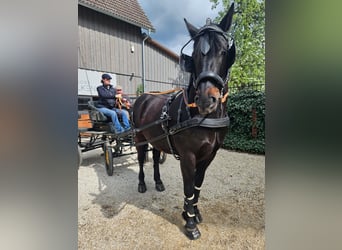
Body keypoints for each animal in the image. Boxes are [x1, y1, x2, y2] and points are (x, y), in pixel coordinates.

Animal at [133, 2, 235, 239]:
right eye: (194, 54)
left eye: (224, 51)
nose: (206, 99)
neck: (202, 117)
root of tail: (142, 97)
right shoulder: (188, 156)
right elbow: (188, 188)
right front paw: (190, 224)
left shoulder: (209, 156)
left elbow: (197, 186)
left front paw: (192, 213)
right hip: (140, 137)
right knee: (142, 159)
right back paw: (142, 184)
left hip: (157, 138)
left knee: (156, 156)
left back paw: (158, 182)